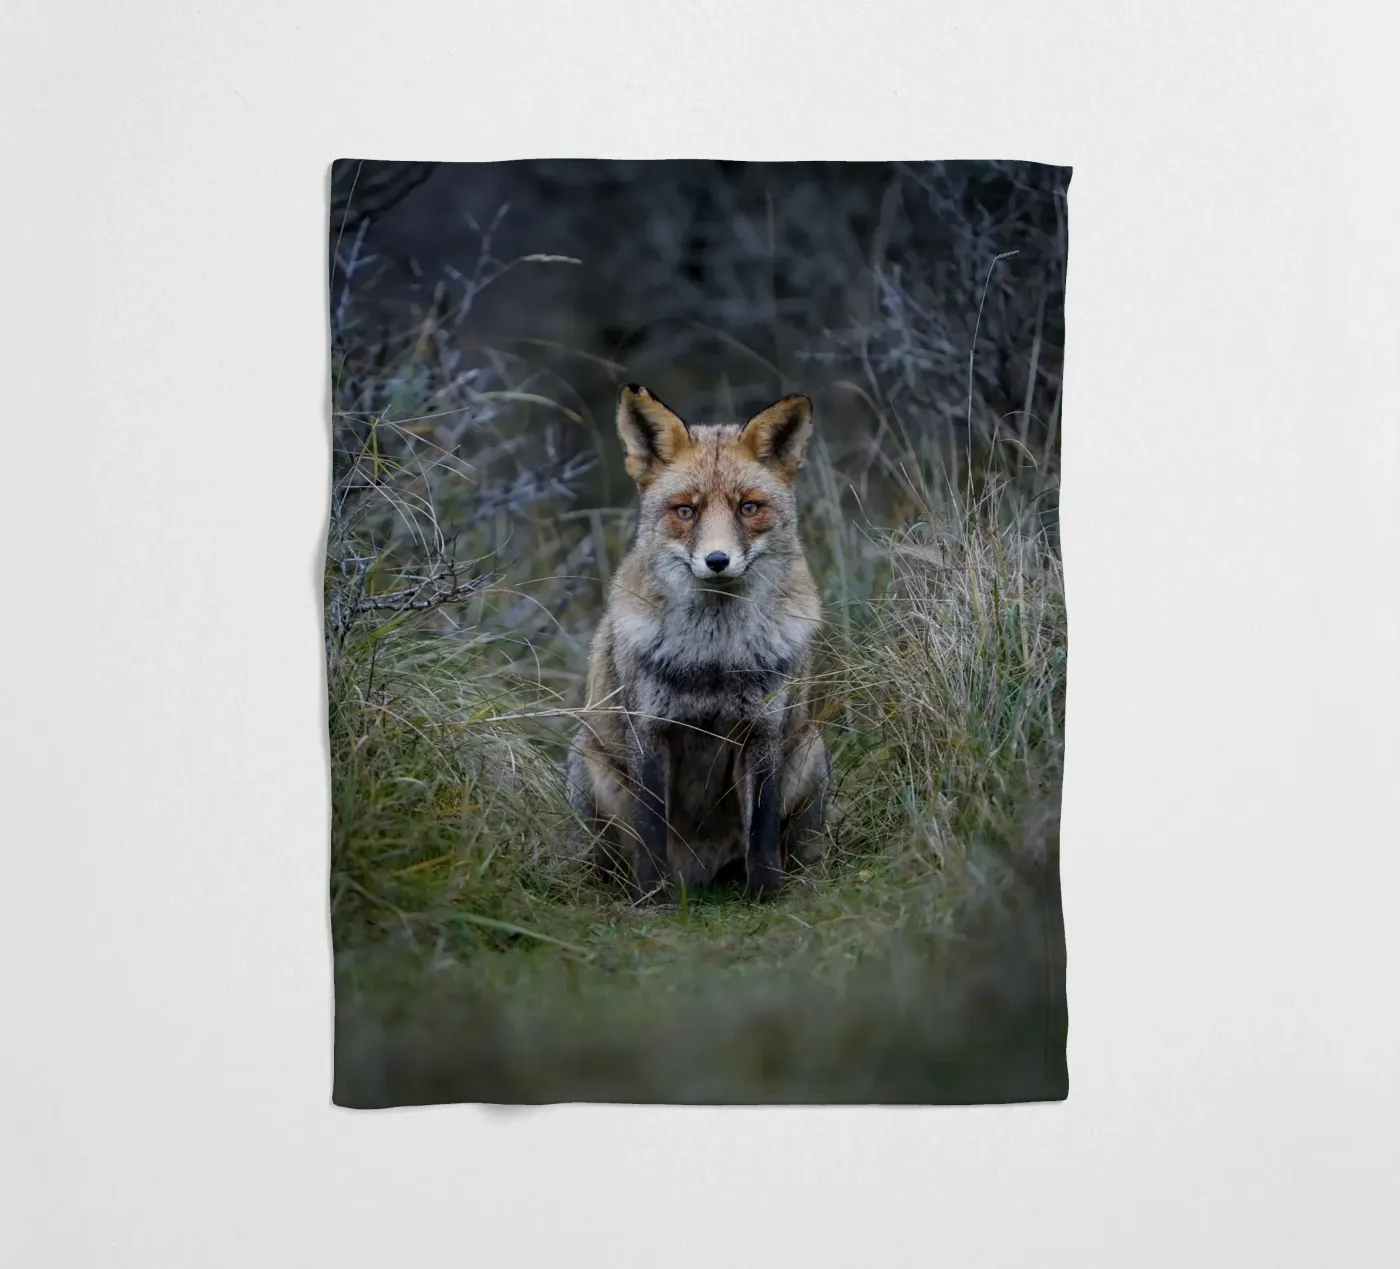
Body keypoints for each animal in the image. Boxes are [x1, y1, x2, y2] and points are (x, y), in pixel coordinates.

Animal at [564, 383, 829, 903]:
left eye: (749, 507)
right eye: (685, 511)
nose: (717, 560)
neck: (714, 657)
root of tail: (702, 874)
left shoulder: (762, 730)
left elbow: (762, 834)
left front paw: (766, 897)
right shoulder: (650, 730)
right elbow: (651, 832)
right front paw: (654, 902)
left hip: (812, 747)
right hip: (587, 763)